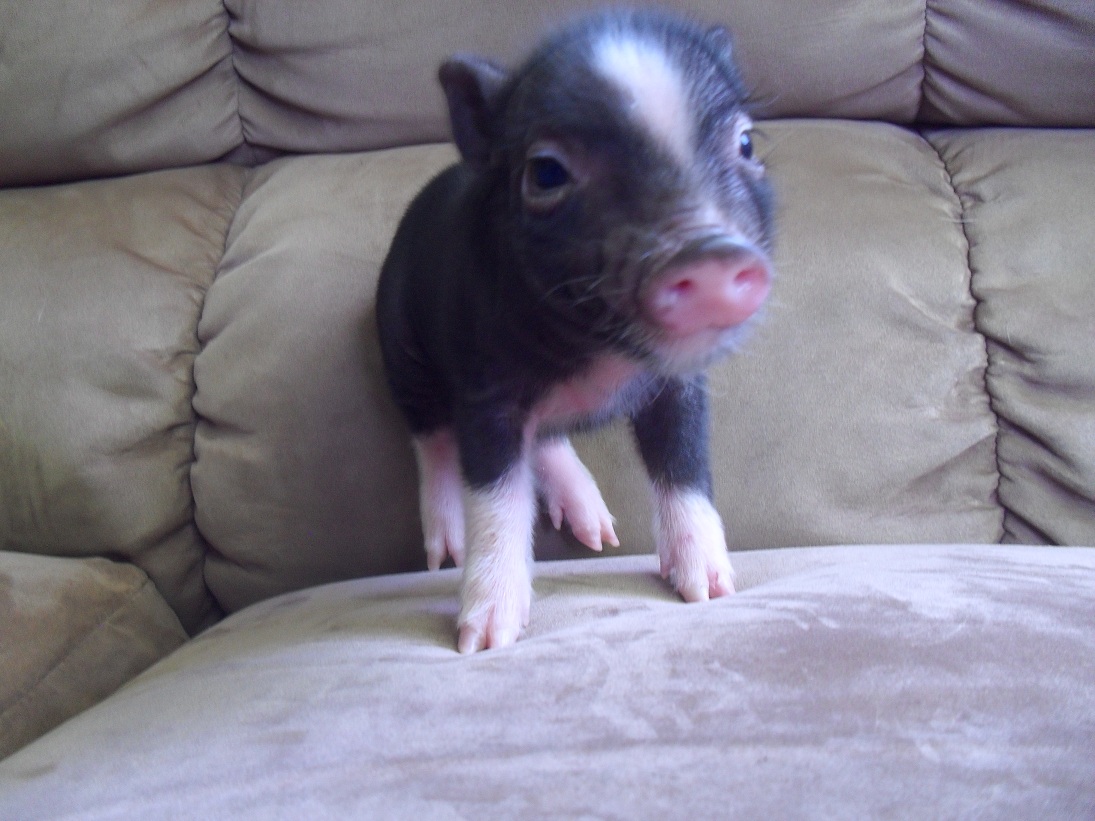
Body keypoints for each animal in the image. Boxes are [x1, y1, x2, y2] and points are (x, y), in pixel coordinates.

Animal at [375, 9, 774, 653]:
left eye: (746, 143)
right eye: (546, 172)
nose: (709, 252)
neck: (600, 352)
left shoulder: (680, 386)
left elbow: (686, 470)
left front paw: (710, 589)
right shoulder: (486, 394)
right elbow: (497, 498)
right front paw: (484, 639)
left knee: (547, 439)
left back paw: (598, 530)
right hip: (399, 349)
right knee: (431, 436)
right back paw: (445, 548)